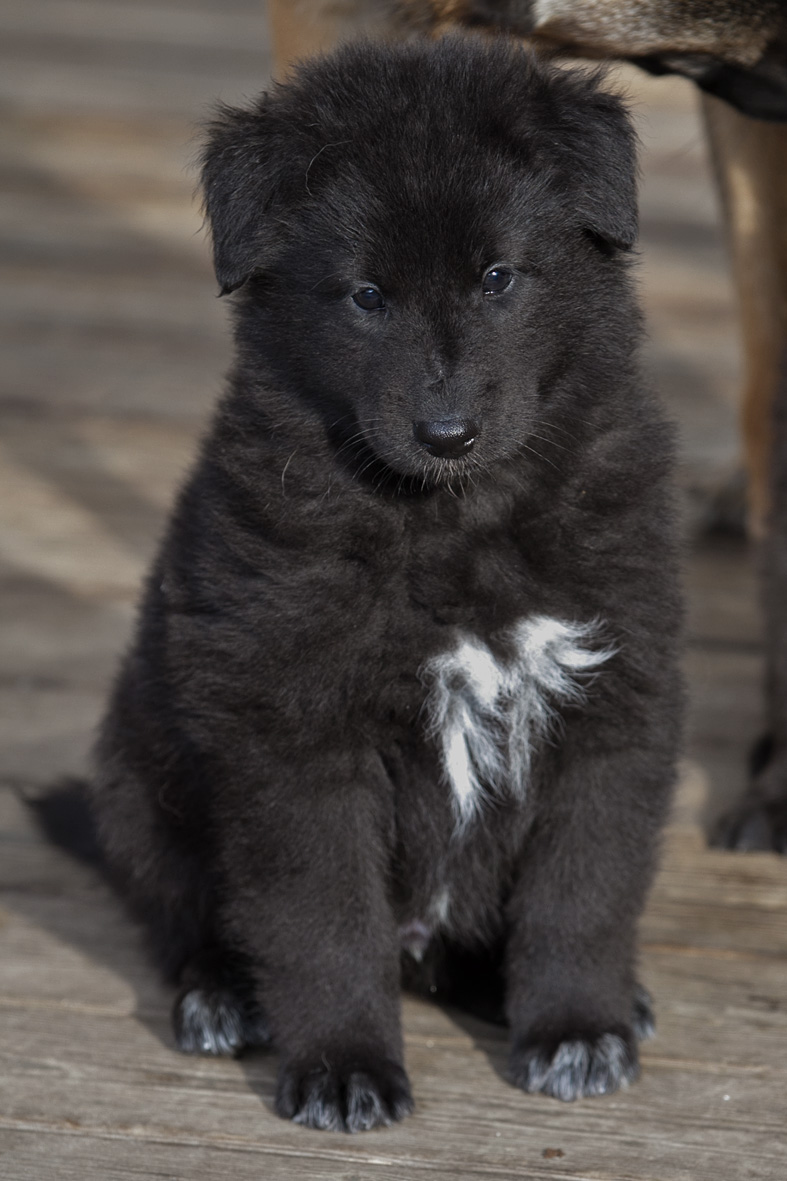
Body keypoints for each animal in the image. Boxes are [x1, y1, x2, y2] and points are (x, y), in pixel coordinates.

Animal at [42, 39, 680, 1133]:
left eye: (499, 277)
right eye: (366, 296)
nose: (446, 432)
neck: (455, 522)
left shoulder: (613, 698)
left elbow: (583, 890)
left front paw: (576, 1025)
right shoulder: (295, 730)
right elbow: (324, 918)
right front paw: (343, 1063)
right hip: (139, 768)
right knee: (180, 908)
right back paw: (222, 993)